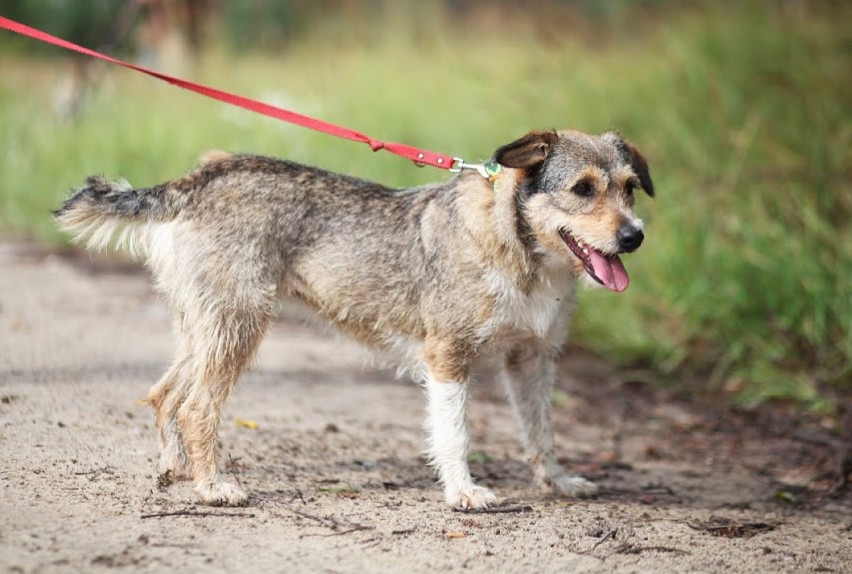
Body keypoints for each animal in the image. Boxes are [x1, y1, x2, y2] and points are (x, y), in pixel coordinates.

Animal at [55, 129, 652, 508]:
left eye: (628, 186)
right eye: (582, 189)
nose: (634, 237)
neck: (522, 251)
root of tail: (198, 178)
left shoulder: (532, 360)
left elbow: (541, 432)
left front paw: (558, 482)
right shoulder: (449, 358)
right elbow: (454, 434)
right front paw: (462, 493)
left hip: (205, 328)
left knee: (165, 395)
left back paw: (177, 468)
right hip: (239, 326)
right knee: (198, 406)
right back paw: (211, 486)